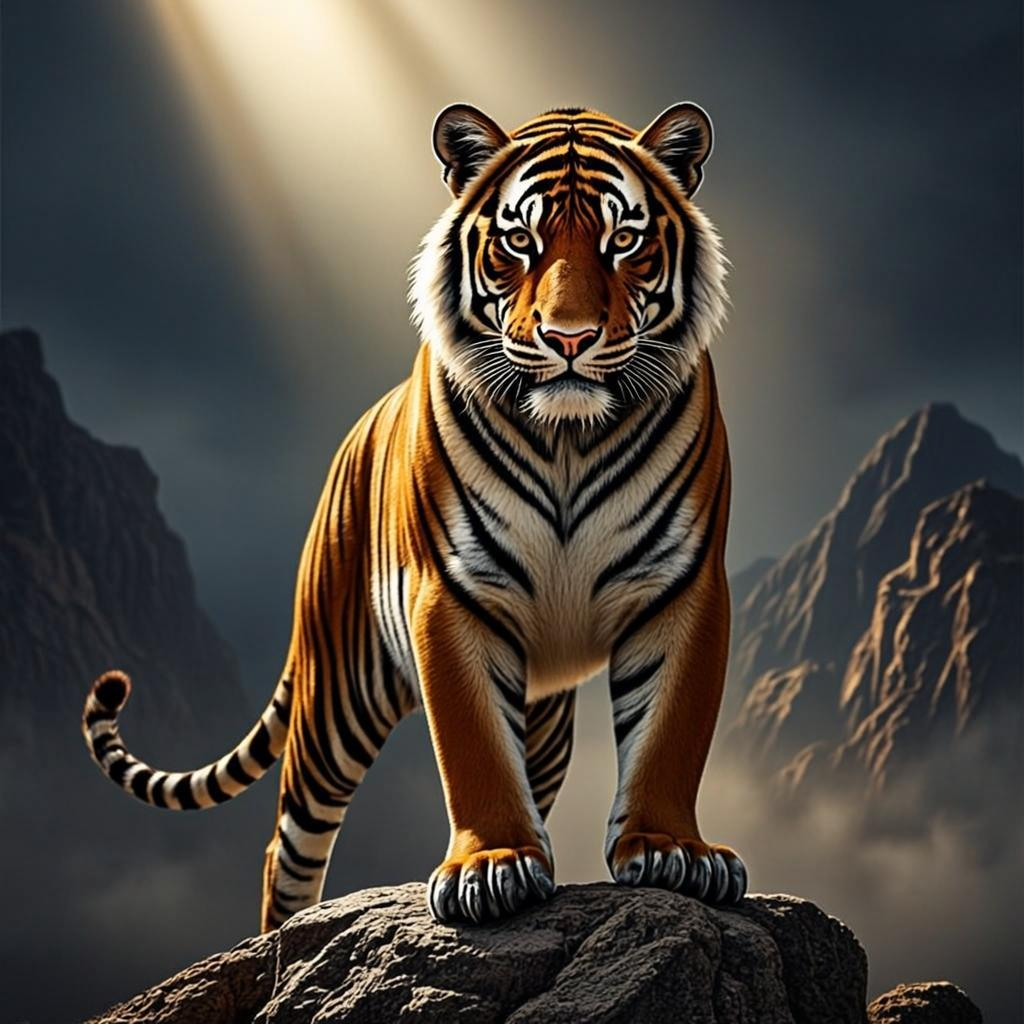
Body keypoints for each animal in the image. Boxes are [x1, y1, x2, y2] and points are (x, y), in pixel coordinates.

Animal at [82, 101, 748, 930]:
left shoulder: (682, 587)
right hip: (337, 701)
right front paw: (492, 865)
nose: (568, 338)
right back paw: (287, 936)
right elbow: (473, 745)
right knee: (288, 846)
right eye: (519, 242)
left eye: (623, 241)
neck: (568, 436)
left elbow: (669, 733)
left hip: (543, 713)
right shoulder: (453, 592)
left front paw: (671, 852)